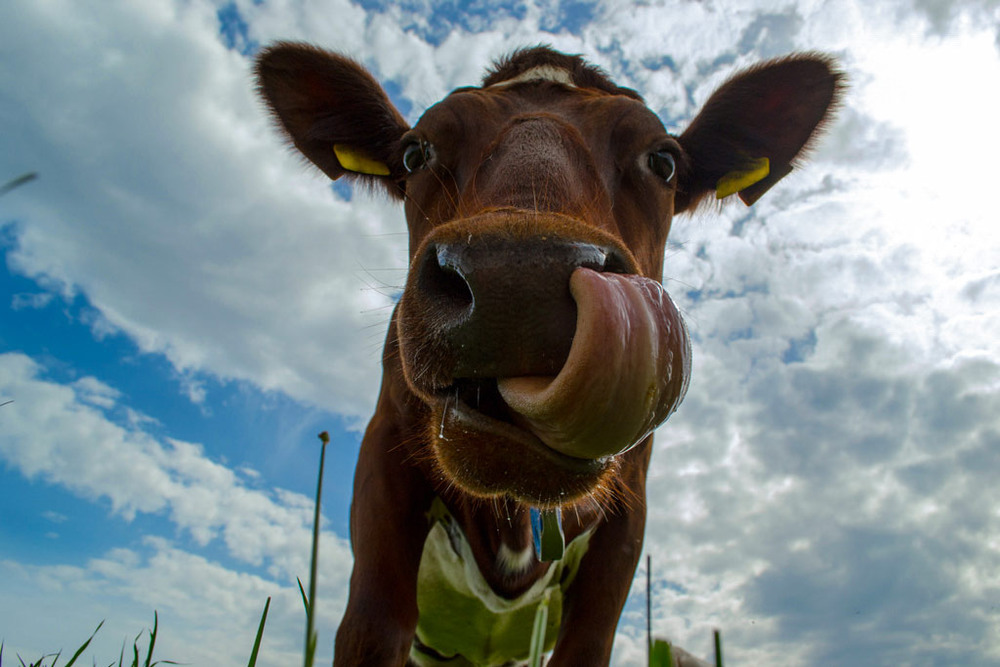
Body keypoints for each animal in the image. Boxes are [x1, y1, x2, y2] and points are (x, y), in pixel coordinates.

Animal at [254, 44, 840, 664]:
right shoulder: (383, 457)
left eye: (663, 161)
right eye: (415, 153)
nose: (517, 281)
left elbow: (586, 644)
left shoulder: (628, 514)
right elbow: (374, 625)